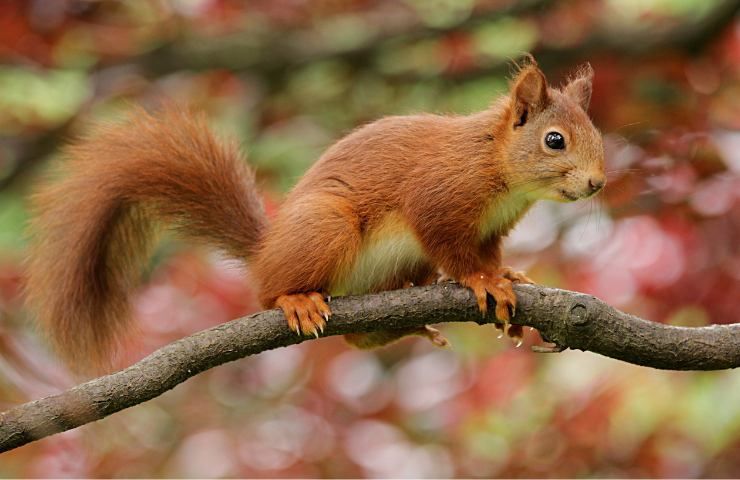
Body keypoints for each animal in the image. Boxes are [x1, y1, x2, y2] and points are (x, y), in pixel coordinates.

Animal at [27, 57, 608, 372]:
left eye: (597, 135)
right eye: (555, 140)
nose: (598, 182)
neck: (496, 163)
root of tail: (266, 251)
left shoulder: (492, 226)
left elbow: (487, 251)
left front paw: (506, 273)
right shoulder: (439, 196)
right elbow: (451, 246)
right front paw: (484, 280)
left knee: (357, 337)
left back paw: (412, 320)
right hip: (325, 227)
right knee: (271, 291)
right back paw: (297, 299)